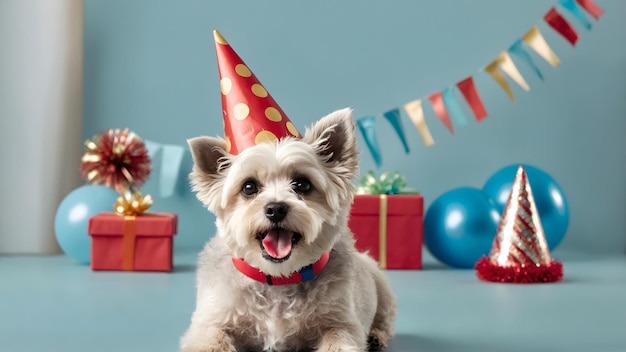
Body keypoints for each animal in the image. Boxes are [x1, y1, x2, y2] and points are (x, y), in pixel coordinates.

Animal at [179, 108, 394, 350]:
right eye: (249, 187)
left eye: (302, 184)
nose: (275, 209)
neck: (280, 279)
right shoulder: (210, 321)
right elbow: (211, 338)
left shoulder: (342, 324)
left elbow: (339, 337)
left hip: (380, 283)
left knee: (385, 318)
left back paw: (376, 336)